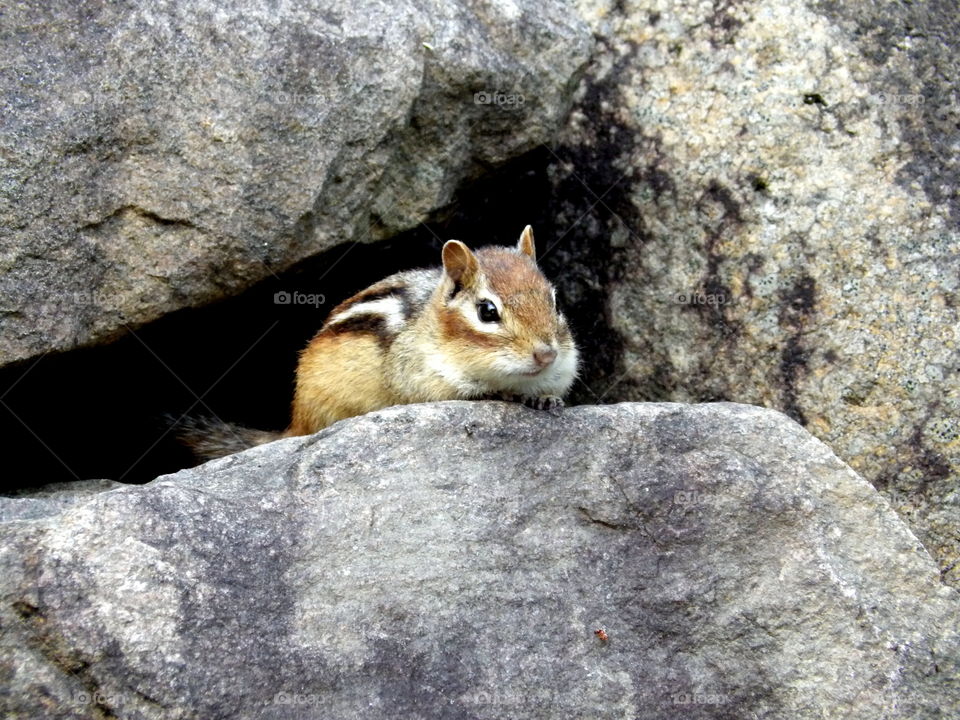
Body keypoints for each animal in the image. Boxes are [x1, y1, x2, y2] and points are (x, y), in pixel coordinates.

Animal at [178, 225, 579, 461]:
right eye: (487, 311)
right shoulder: (420, 377)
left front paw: (545, 398)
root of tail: (296, 420)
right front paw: (507, 393)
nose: (546, 354)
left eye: (555, 301)